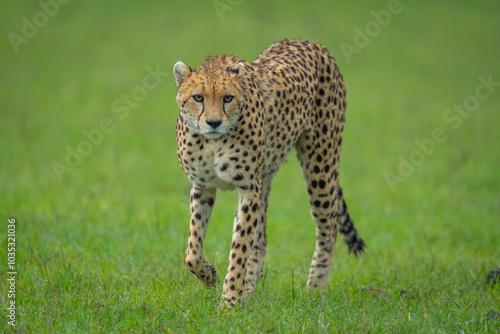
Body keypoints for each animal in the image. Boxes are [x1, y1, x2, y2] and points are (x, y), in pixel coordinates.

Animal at [174, 38, 366, 308]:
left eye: (228, 98)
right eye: (198, 97)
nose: (213, 123)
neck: (212, 142)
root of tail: (309, 42)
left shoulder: (247, 189)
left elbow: (239, 248)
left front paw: (229, 304)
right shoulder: (203, 186)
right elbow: (192, 250)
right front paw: (210, 277)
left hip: (320, 166)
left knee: (328, 228)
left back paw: (315, 288)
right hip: (264, 180)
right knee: (261, 239)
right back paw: (249, 291)